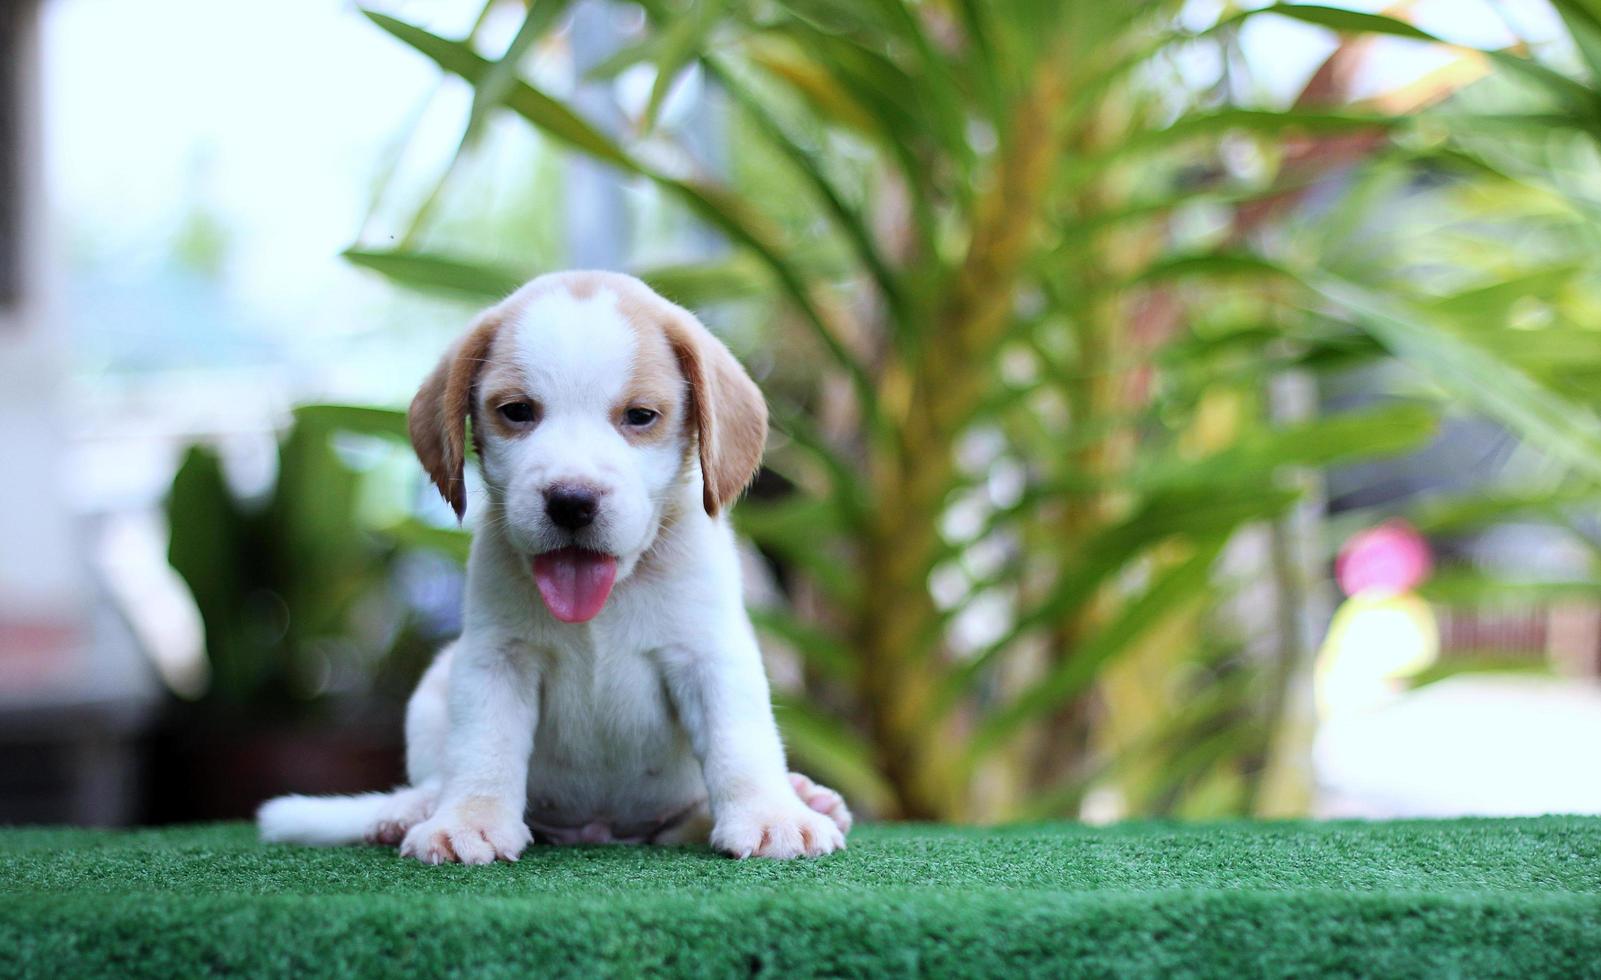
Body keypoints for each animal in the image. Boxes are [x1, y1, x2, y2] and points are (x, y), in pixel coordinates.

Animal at [259, 272, 851, 858]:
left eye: (641, 416)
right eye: (517, 411)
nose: (571, 501)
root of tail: (598, 829)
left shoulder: (711, 657)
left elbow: (741, 742)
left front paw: (772, 815)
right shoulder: (496, 660)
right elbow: (482, 747)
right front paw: (469, 821)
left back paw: (804, 796)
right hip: (434, 685)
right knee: (435, 776)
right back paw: (410, 810)